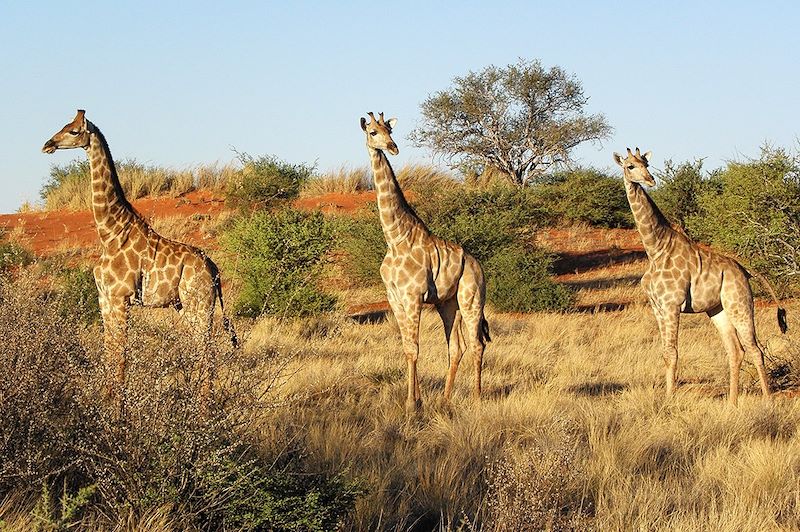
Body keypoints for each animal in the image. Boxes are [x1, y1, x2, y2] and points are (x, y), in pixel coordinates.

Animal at [43, 108, 238, 408]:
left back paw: (205, 411)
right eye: (63, 125)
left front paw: (119, 413)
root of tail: (214, 268)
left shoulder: (122, 297)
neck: (109, 232)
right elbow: (109, 353)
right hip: (184, 306)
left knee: (209, 353)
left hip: (200, 304)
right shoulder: (104, 298)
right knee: (202, 352)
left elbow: (121, 356)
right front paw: (106, 405)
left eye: (74, 131)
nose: (47, 144)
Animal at [360, 111, 488, 412]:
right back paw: (445, 399)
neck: (395, 238)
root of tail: (478, 265)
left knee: (477, 345)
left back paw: (477, 398)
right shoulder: (394, 298)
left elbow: (414, 349)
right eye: (372, 132)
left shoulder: (413, 296)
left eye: (389, 130)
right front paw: (417, 400)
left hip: (472, 299)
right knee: (457, 347)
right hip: (448, 303)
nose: (392, 147)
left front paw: (410, 403)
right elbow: (407, 347)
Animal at [616, 145, 784, 404]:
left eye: (647, 164)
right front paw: (668, 397)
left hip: (739, 303)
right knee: (735, 350)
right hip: (718, 309)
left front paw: (669, 400)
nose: (650, 180)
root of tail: (745, 271)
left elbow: (672, 353)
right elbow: (665, 353)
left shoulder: (672, 305)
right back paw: (732, 403)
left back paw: (767, 401)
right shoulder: (657, 307)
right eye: (630, 166)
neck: (655, 248)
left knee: (755, 349)